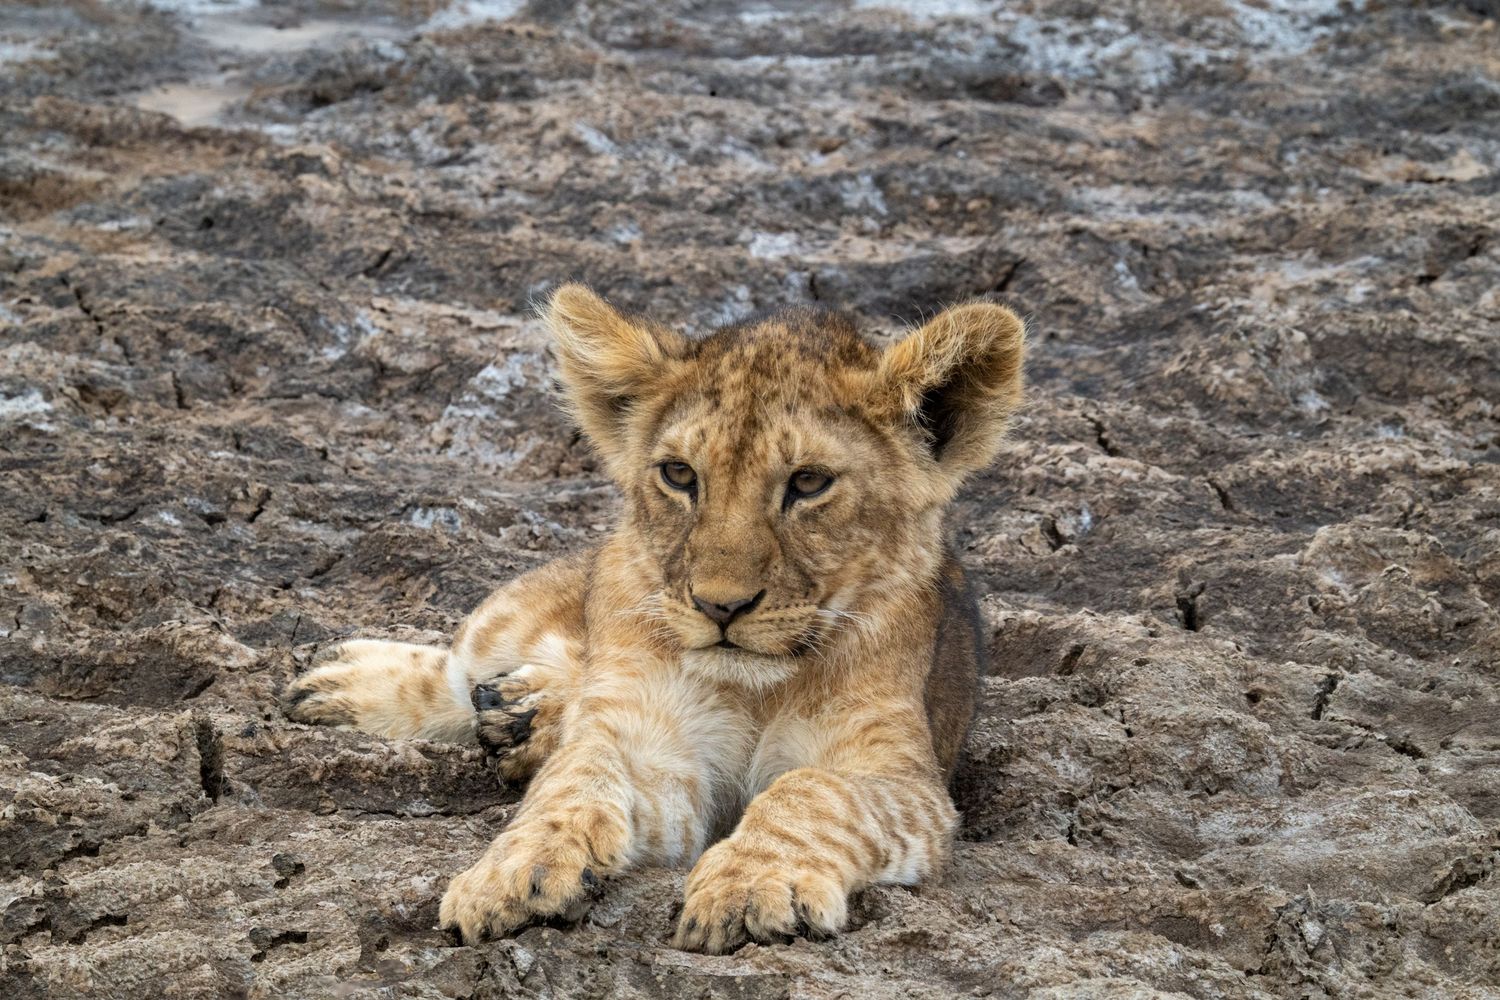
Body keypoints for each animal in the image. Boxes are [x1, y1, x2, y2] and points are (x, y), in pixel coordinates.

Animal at [282, 284, 1026, 952]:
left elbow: (811, 791)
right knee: (464, 666)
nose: (721, 605)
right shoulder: (653, 751)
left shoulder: (905, 779)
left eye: (810, 483)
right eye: (679, 475)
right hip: (529, 610)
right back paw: (346, 685)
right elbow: (574, 781)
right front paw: (509, 872)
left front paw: (751, 888)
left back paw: (524, 718)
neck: (755, 688)